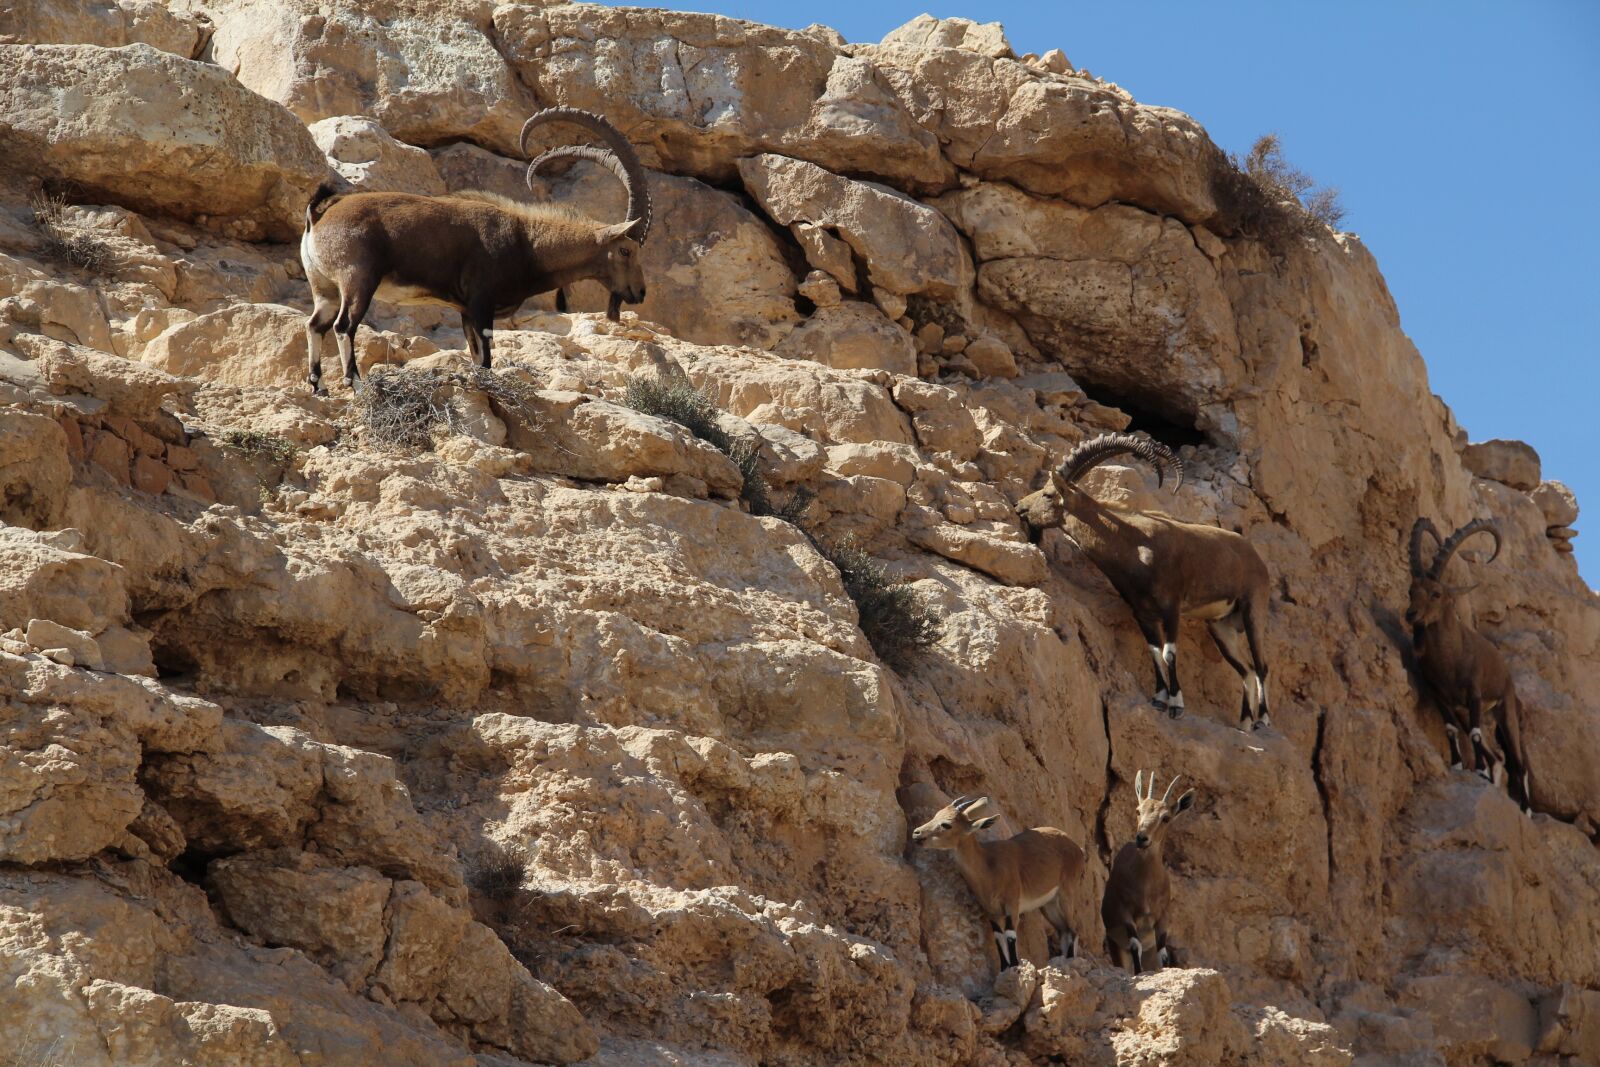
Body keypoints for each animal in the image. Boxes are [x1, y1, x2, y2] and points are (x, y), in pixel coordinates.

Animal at [299, 108, 652, 393]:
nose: (639, 292)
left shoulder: (466, 310)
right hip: (358, 280)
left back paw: (319, 387)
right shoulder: (482, 302)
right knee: (343, 326)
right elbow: (485, 359)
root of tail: (318, 216)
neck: (527, 242)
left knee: (315, 324)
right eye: (626, 251)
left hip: (324, 286)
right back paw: (356, 384)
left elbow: (475, 358)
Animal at [911, 795, 1085, 970]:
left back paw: (1070, 961)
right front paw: (1004, 969)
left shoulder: (1012, 904)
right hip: (1049, 905)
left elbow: (1010, 934)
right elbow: (997, 937)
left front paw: (1015, 968)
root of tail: (1076, 847)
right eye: (935, 815)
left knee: (1074, 929)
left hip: (1066, 892)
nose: (916, 833)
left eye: (946, 824)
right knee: (1064, 930)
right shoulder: (990, 910)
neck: (989, 867)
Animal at [1014, 433, 1274, 730]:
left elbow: (1169, 652)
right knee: (1246, 669)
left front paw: (1176, 705)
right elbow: (1154, 651)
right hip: (1221, 626)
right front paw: (1159, 699)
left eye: (1048, 494)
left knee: (1261, 665)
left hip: (1254, 609)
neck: (1134, 545)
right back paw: (1245, 723)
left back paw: (1263, 720)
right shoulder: (1142, 613)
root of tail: (1255, 556)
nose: (1019, 506)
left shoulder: (1171, 607)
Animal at [1101, 770, 1195, 973]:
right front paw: (1139, 974)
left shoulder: (1162, 915)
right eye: (1138, 811)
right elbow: (1135, 944)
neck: (1145, 884)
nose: (1142, 838)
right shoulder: (1124, 911)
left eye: (1166, 817)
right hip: (1115, 944)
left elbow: (1163, 953)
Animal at [1407, 518, 1533, 814]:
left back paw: (1525, 808)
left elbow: (1474, 734)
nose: (1411, 615)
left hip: (1505, 709)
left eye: (1436, 593)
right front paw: (1458, 765)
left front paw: (1477, 771)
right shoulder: (1440, 696)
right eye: (1411, 591)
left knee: (1518, 761)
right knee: (1498, 756)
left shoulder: (1474, 693)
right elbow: (1451, 728)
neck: (1449, 659)